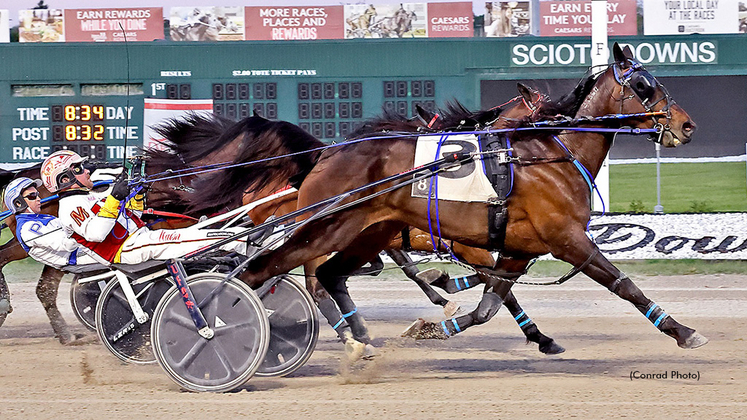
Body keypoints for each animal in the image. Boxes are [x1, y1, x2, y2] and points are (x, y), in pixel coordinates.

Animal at [228, 42, 708, 352]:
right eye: (644, 85)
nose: (686, 125)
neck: (547, 154)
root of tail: (326, 153)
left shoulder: (516, 247)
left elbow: (491, 303)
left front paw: (437, 327)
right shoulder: (567, 239)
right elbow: (623, 284)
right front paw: (683, 331)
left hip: (365, 232)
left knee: (330, 277)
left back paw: (359, 337)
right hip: (324, 229)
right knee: (284, 273)